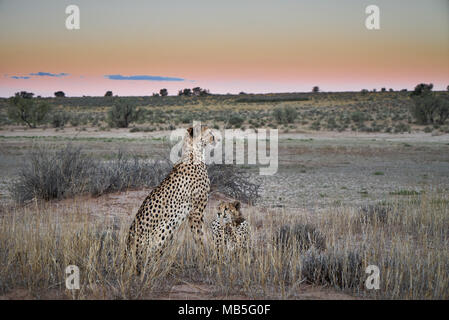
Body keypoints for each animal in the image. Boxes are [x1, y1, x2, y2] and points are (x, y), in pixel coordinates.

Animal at [127, 124, 216, 268]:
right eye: (210, 133)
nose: (215, 138)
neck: (193, 154)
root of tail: (127, 250)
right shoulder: (196, 212)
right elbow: (200, 238)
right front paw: (205, 261)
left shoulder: (196, 213)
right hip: (167, 226)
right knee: (150, 259)